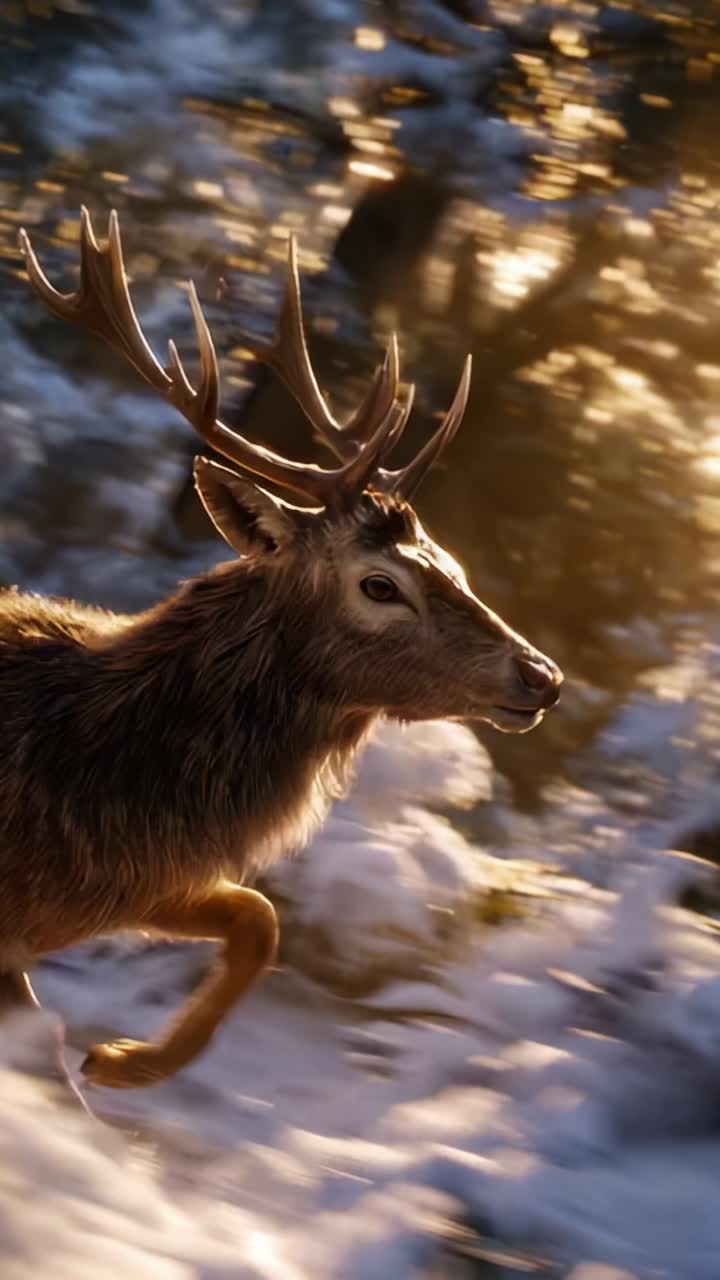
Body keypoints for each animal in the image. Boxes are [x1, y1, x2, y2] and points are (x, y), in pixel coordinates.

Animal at [2, 207, 562, 1093]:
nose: (541, 675)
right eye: (379, 585)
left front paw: (127, 1061)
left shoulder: (125, 886)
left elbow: (259, 919)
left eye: (451, 562)